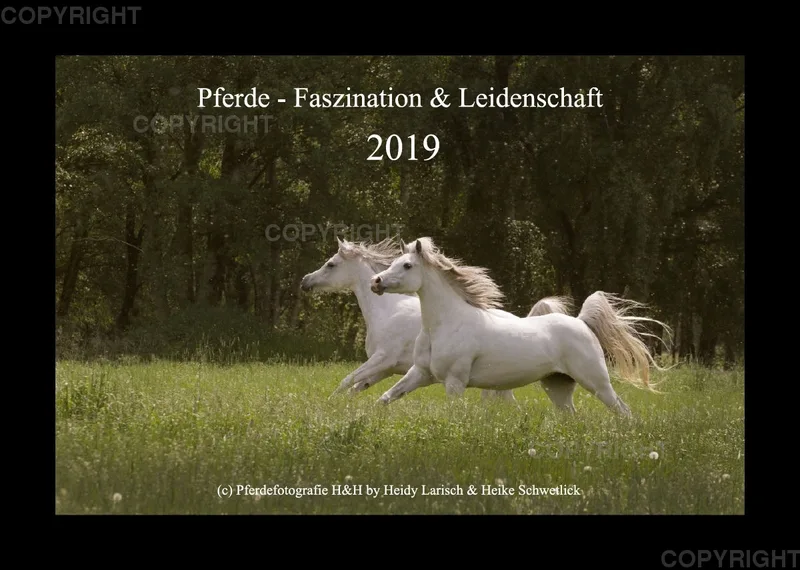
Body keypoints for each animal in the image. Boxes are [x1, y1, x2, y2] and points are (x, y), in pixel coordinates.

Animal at [300, 236, 572, 401]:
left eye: (331, 264)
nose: (305, 281)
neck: (387, 311)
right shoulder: (386, 369)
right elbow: (358, 387)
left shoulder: (383, 359)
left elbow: (347, 380)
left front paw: (329, 404)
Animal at [369, 237, 672, 416]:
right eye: (394, 262)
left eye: (407, 265)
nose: (376, 282)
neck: (445, 324)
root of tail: (581, 322)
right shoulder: (420, 373)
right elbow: (385, 398)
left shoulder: (454, 382)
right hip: (558, 386)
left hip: (596, 382)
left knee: (623, 411)